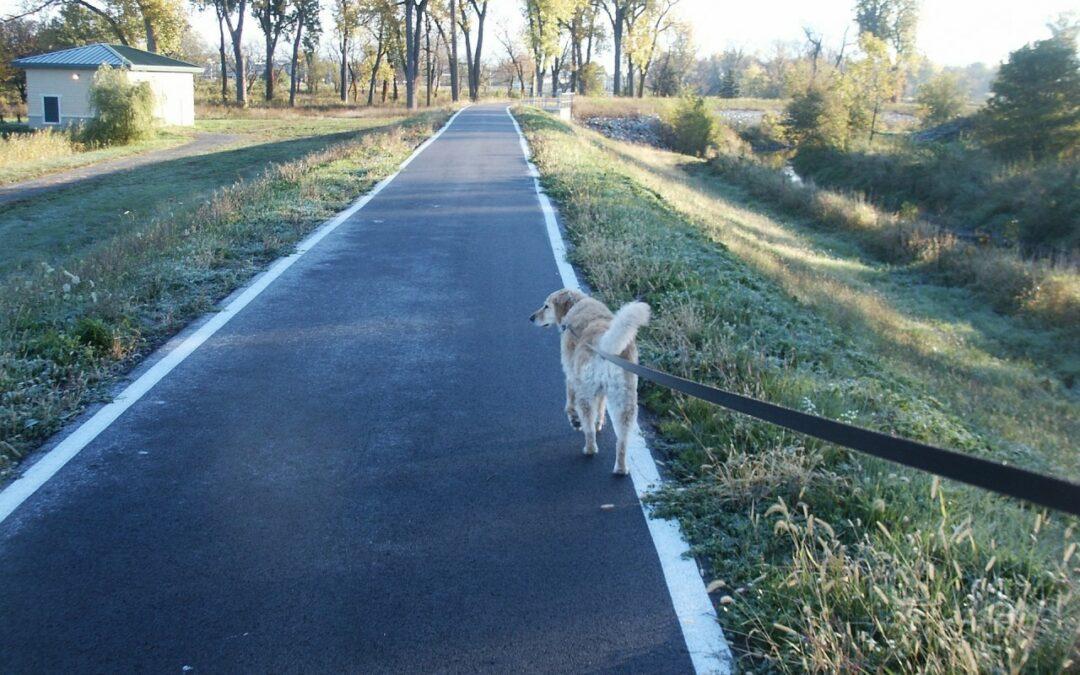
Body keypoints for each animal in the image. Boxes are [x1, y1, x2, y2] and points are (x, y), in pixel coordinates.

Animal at [531, 287, 648, 473]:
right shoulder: (601, 391)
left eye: (546, 306)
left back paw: (589, 448)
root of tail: (605, 344)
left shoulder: (571, 374)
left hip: (586, 393)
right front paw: (599, 423)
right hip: (625, 399)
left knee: (588, 424)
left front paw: (573, 418)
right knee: (622, 439)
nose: (531, 317)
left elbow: (569, 400)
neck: (577, 304)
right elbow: (601, 407)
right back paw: (621, 468)